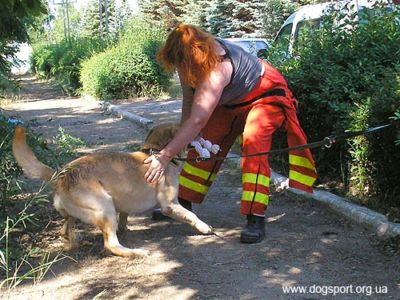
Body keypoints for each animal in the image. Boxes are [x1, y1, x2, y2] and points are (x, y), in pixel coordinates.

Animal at [12, 124, 212, 258]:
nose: (202, 132)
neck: (156, 152)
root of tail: (61, 175)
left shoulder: (124, 205)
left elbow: (124, 216)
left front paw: (125, 228)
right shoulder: (170, 205)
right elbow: (192, 216)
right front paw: (204, 227)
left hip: (78, 214)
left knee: (65, 230)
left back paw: (74, 241)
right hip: (105, 208)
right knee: (111, 245)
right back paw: (136, 252)